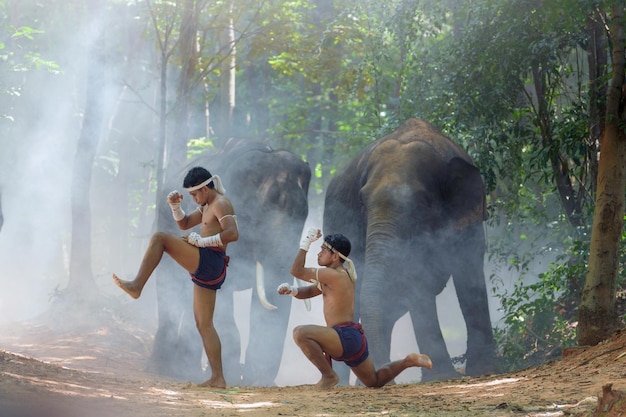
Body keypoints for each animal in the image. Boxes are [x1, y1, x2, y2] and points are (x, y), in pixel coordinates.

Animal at [148, 138, 310, 386]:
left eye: (303, 215)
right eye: (255, 215)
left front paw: (253, 379)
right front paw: (235, 374)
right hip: (162, 221)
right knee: (169, 284)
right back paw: (164, 366)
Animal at [324, 117, 494, 380]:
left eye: (421, 204)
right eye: (362, 202)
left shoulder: (469, 213)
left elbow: (468, 267)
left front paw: (485, 369)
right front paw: (442, 376)